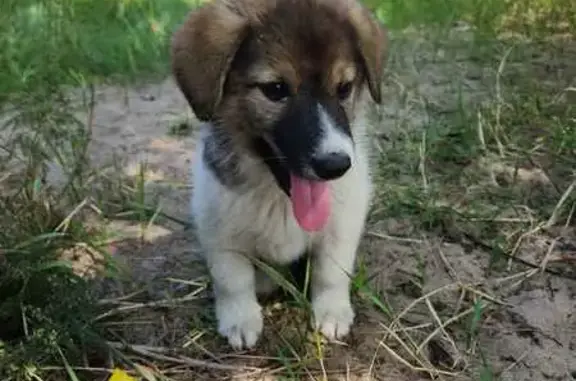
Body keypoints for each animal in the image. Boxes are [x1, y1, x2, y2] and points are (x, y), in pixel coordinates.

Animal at [171, 0, 388, 348]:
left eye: (344, 88)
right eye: (275, 89)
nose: (336, 165)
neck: (277, 198)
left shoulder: (344, 220)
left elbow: (332, 270)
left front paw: (332, 311)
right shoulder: (218, 227)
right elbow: (232, 279)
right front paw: (240, 318)